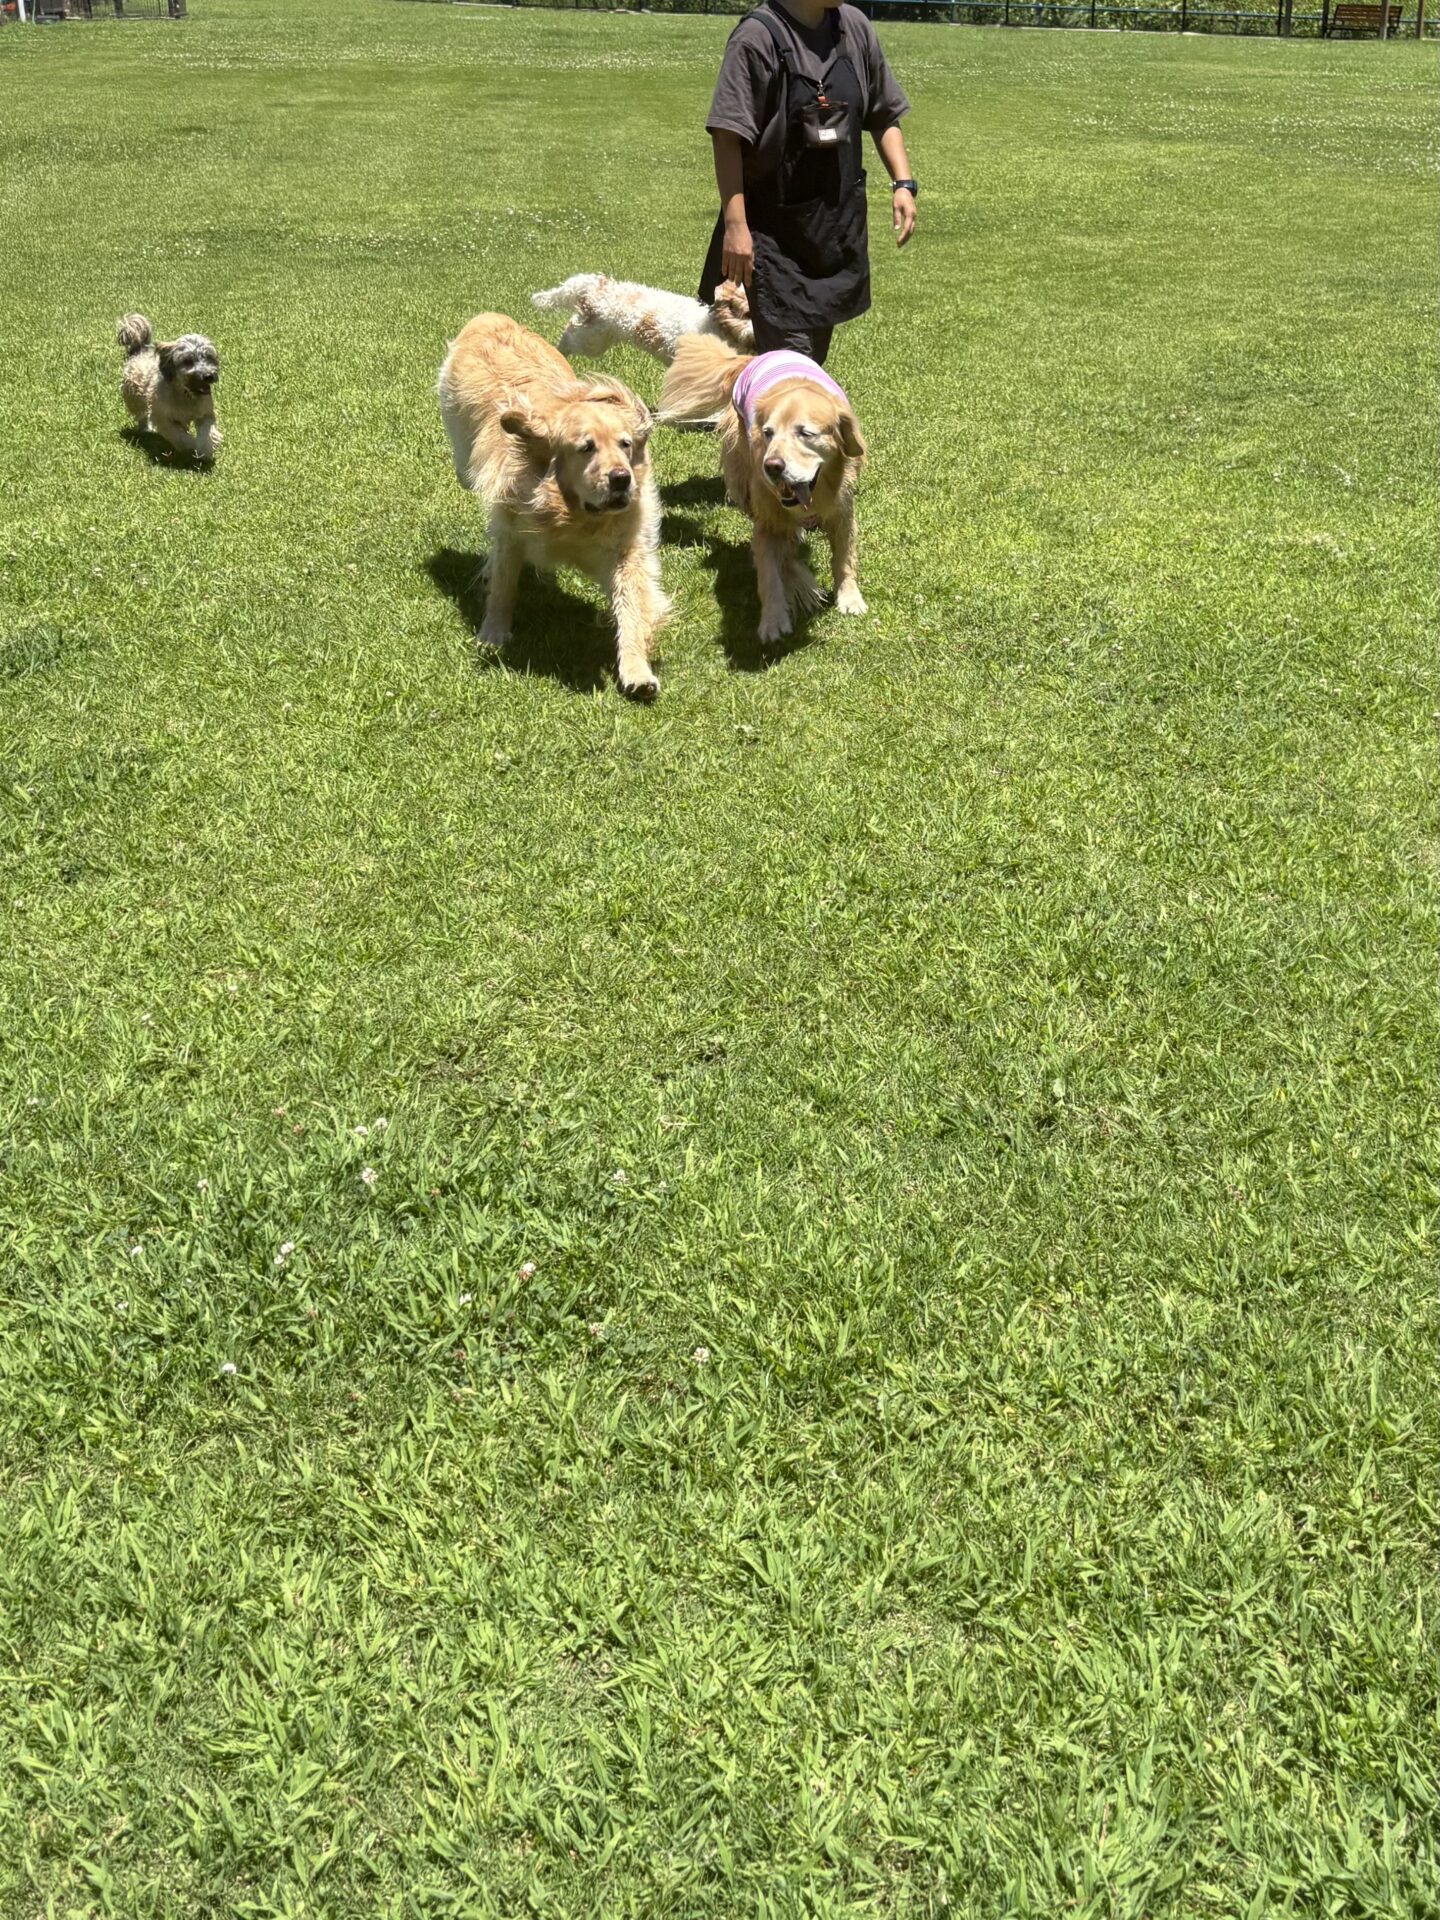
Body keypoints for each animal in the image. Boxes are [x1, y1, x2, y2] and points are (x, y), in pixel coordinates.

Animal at [116, 315, 221, 460]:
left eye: (209, 357)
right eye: (188, 361)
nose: (208, 376)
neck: (185, 394)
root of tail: (139, 351)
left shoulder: (205, 414)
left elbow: (206, 434)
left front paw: (205, 451)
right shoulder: (164, 419)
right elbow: (181, 437)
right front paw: (192, 446)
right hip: (134, 399)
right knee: (141, 415)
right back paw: (145, 429)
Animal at [438, 313, 669, 699]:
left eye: (625, 445)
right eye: (586, 447)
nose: (622, 479)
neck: (573, 514)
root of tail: (491, 317)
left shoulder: (624, 548)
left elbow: (631, 604)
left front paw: (637, 670)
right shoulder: (511, 530)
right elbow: (503, 585)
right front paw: (493, 633)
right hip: (461, 451)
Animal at [659, 339, 866, 646]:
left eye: (806, 433)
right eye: (768, 433)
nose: (772, 466)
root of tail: (754, 358)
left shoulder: (842, 513)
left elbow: (844, 558)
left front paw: (849, 598)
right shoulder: (767, 520)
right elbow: (771, 572)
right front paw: (774, 618)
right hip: (741, 477)